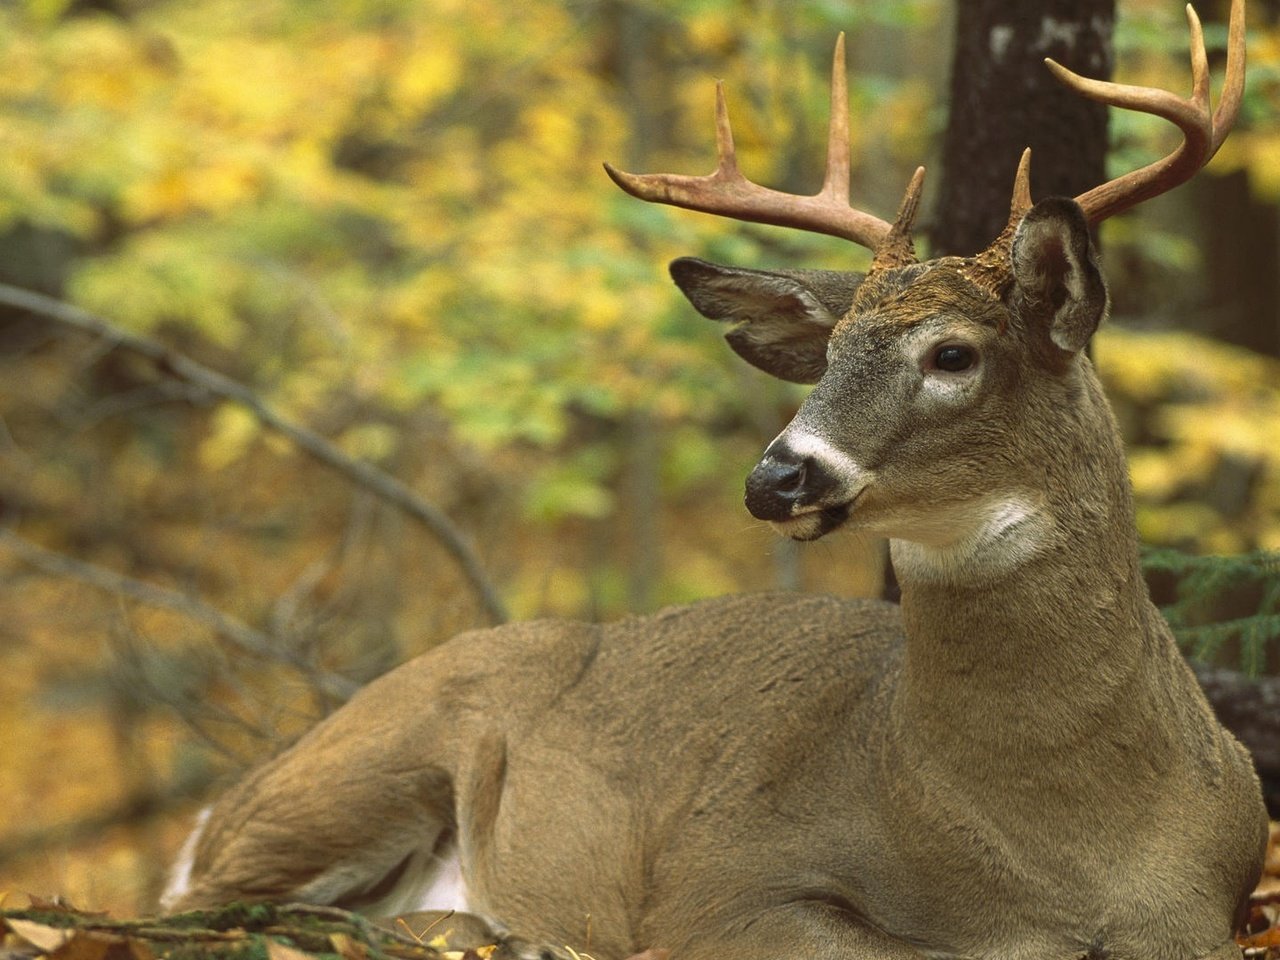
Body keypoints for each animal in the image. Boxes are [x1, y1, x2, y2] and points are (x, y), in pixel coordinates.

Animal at [165, 3, 1264, 957]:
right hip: (362, 765)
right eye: (828, 354)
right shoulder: (723, 881)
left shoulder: (1213, 906)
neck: (1069, 851)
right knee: (204, 908)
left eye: (952, 354)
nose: (776, 476)